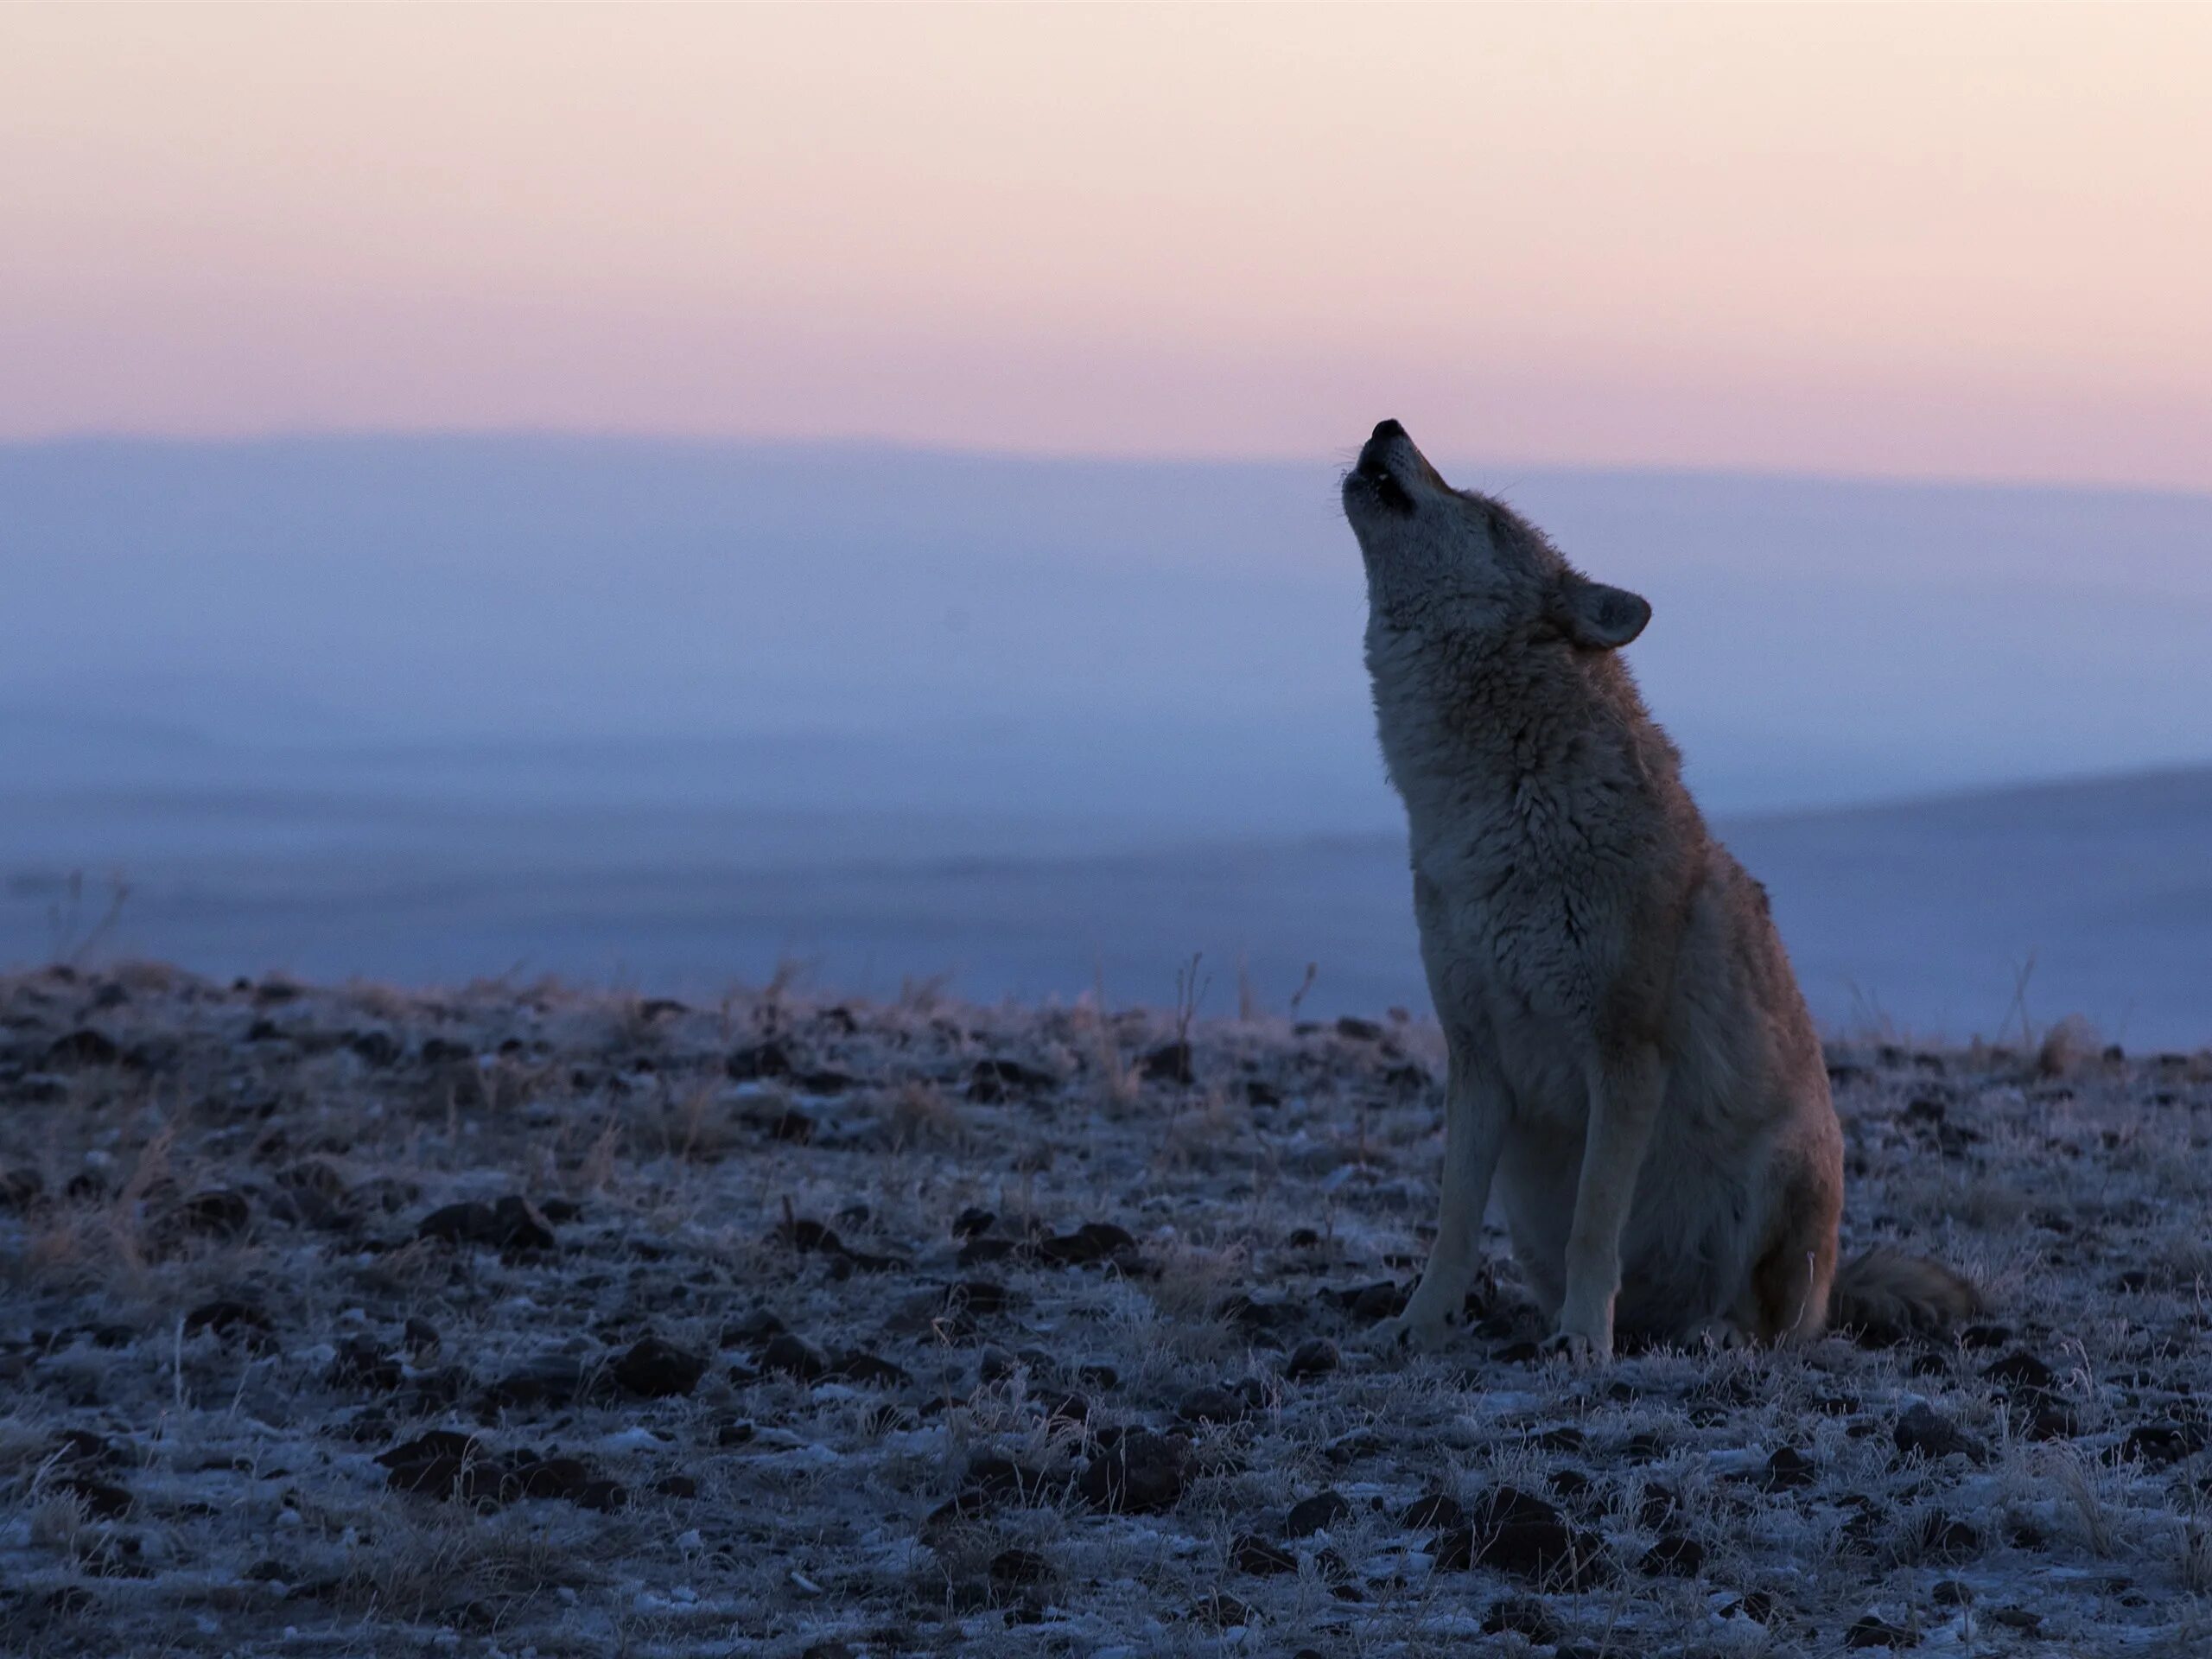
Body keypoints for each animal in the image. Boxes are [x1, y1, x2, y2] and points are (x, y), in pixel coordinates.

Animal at [1336, 417, 1981, 1362]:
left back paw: (1705, 1334)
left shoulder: (1623, 1053)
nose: (1387, 425)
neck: (1500, 808)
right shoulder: (1475, 1053)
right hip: (1526, 1194)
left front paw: (1579, 1344)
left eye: (1486, 514)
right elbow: (1451, 1227)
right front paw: (1420, 1325)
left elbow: (1595, 1223)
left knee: (1771, 1326)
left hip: (1783, 1170)